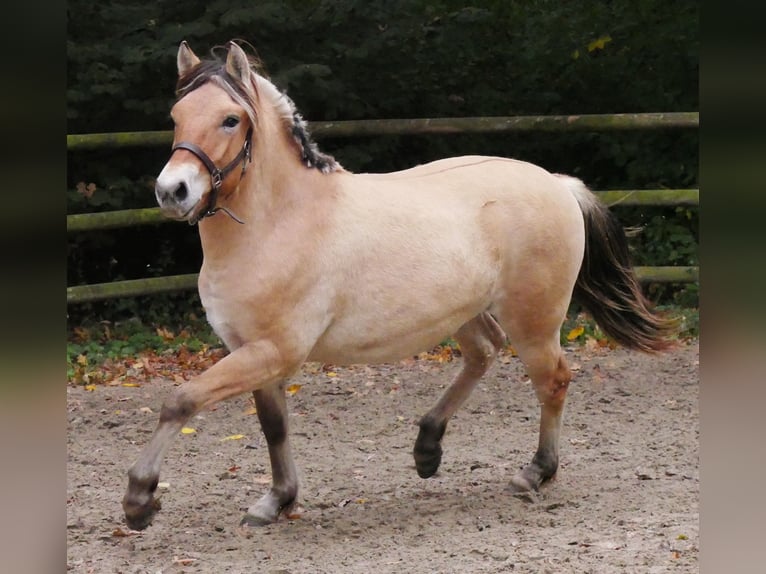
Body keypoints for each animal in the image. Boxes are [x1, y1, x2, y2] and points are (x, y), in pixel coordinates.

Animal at [122, 40, 676, 530]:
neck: (280, 223)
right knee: (484, 351)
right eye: (176, 115)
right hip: (464, 310)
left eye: (230, 119)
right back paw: (427, 448)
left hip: (535, 321)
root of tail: (558, 183)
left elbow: (180, 400)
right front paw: (276, 501)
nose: (172, 191)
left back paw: (534, 473)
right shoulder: (254, 353)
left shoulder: (273, 350)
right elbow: (273, 426)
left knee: (553, 380)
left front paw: (139, 500)